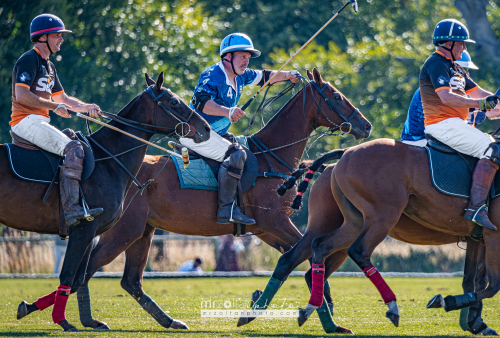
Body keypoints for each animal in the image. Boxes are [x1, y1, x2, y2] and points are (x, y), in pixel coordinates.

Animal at [11, 73, 211, 330]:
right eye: (174, 101)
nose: (206, 128)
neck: (109, 161)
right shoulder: (83, 228)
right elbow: (69, 276)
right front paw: (62, 321)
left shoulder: (91, 230)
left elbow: (76, 278)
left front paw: (30, 307)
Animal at [48, 68, 374, 330]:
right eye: (335, 95)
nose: (366, 125)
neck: (270, 156)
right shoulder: (275, 221)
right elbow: (300, 255)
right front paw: (315, 305)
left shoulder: (264, 228)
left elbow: (296, 256)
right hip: (123, 230)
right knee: (87, 269)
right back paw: (77, 317)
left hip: (143, 230)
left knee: (128, 280)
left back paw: (168, 321)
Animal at [298, 139, 500, 332]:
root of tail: (347, 151)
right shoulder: (493, 236)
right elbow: (493, 285)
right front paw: (449, 303)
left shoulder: (478, 239)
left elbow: (474, 281)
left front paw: (475, 323)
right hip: (382, 217)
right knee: (357, 251)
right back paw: (391, 306)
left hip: (353, 222)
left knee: (319, 247)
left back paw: (312, 310)